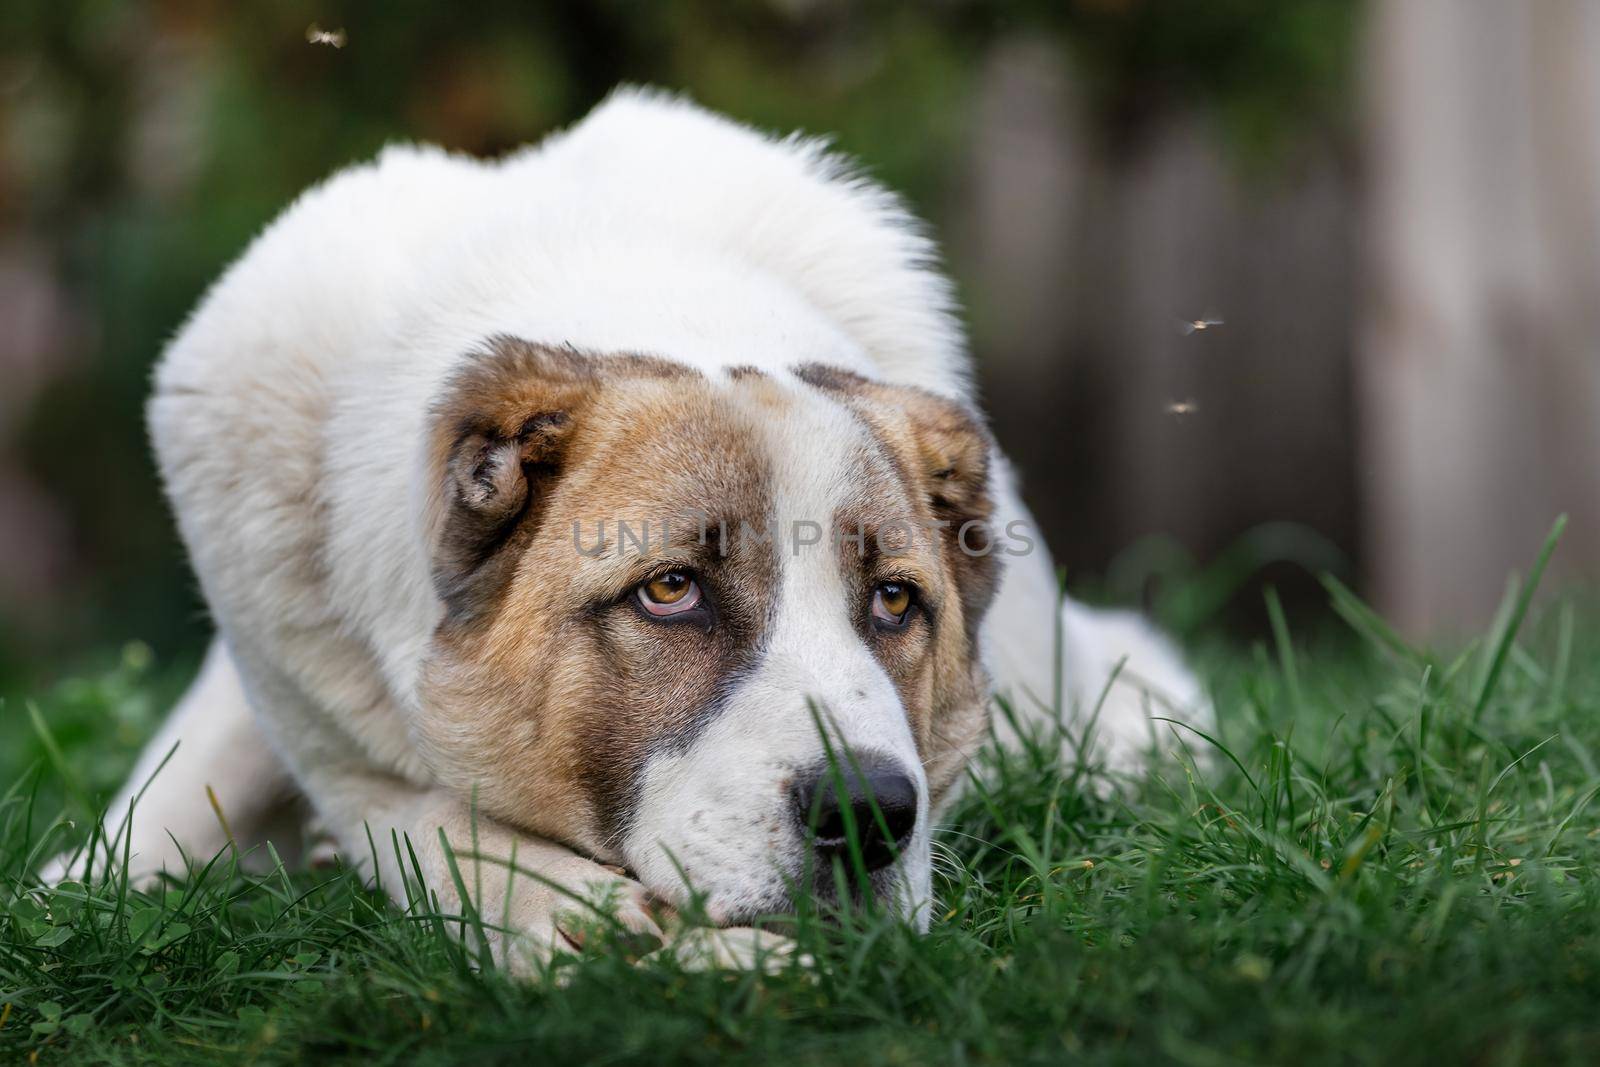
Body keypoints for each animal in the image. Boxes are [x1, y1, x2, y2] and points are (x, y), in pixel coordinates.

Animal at [50, 91, 1203, 972]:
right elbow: (419, 821)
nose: (869, 813)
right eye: (670, 588)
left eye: (893, 600)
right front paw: (578, 915)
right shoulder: (317, 726)